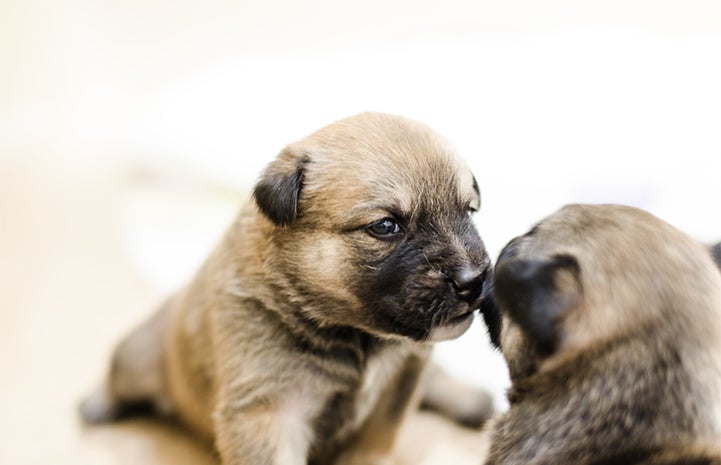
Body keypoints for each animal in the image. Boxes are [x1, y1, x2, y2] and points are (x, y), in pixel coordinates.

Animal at [81, 112, 492, 464]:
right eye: (385, 226)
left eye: (468, 212)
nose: (474, 280)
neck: (355, 337)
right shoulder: (268, 411)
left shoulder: (400, 382)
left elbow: (375, 442)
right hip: (137, 357)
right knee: (119, 376)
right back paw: (99, 402)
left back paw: (470, 399)